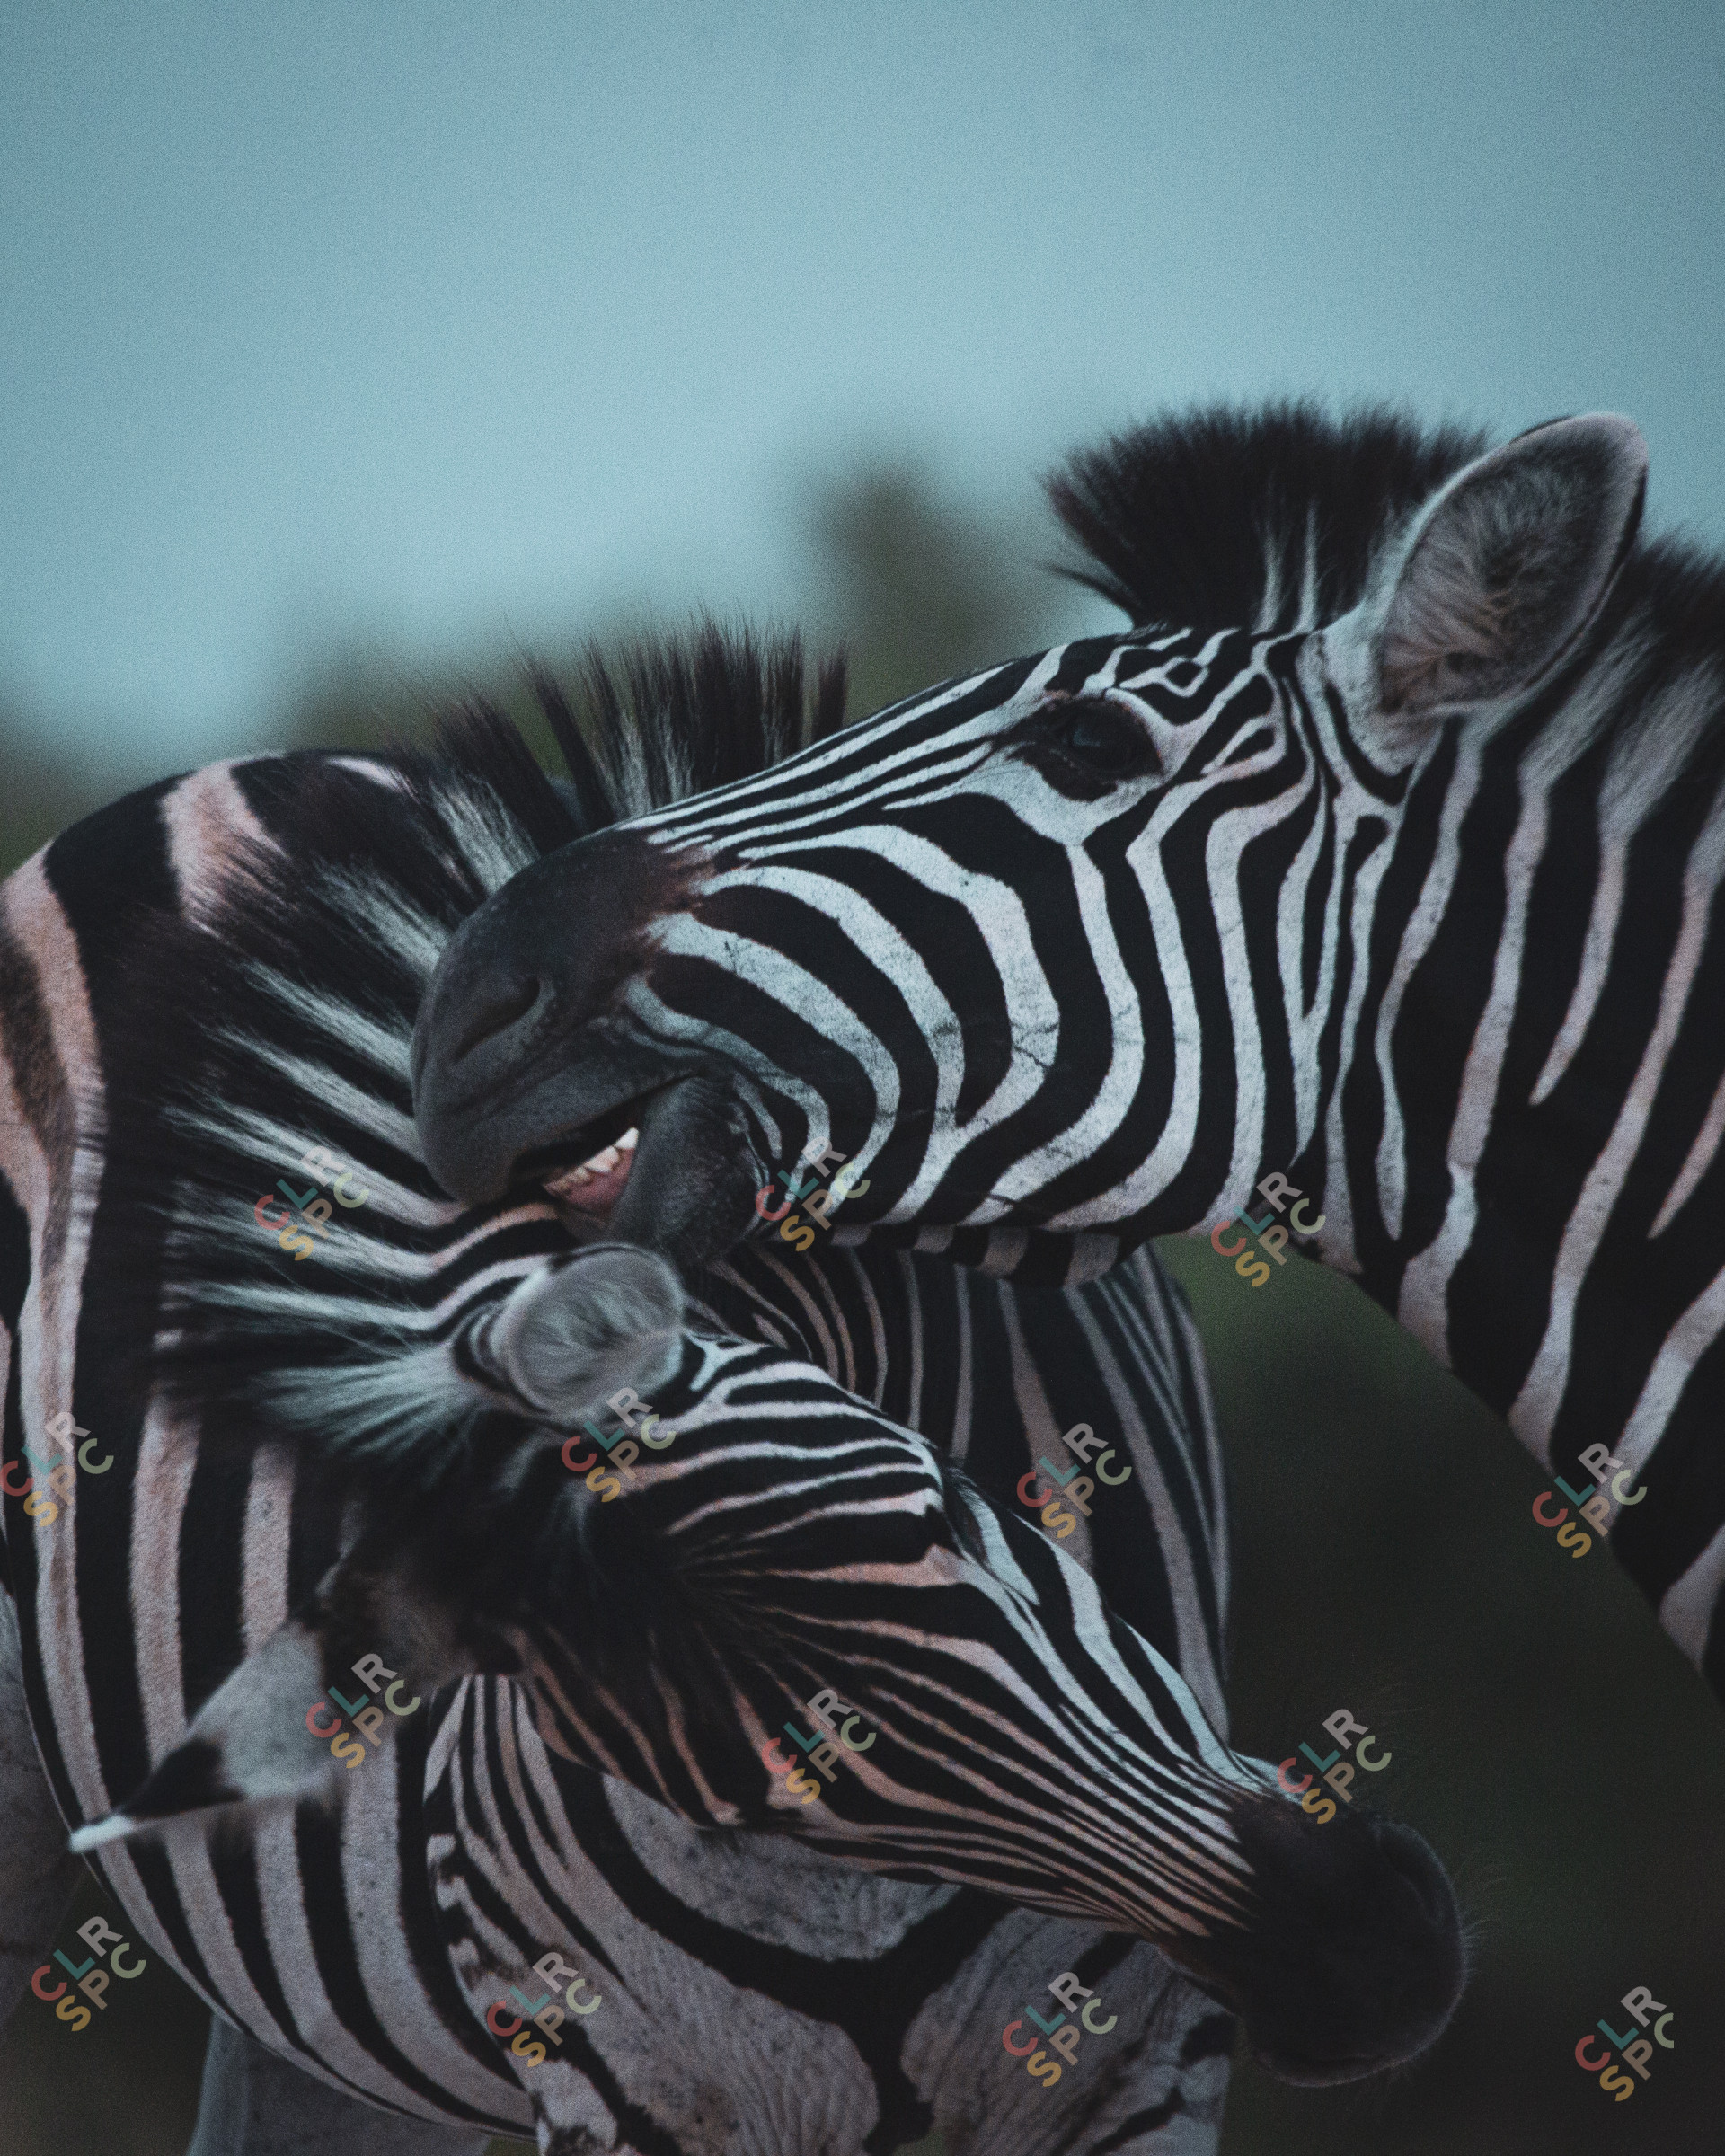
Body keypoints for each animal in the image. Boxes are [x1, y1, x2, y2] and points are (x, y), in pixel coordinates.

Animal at [0, 637, 1462, 2156]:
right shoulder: (626, 2088)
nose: (1370, 1970)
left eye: (949, 1510)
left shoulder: (1144, 2079)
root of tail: (262, 771)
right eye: (774, 1781)